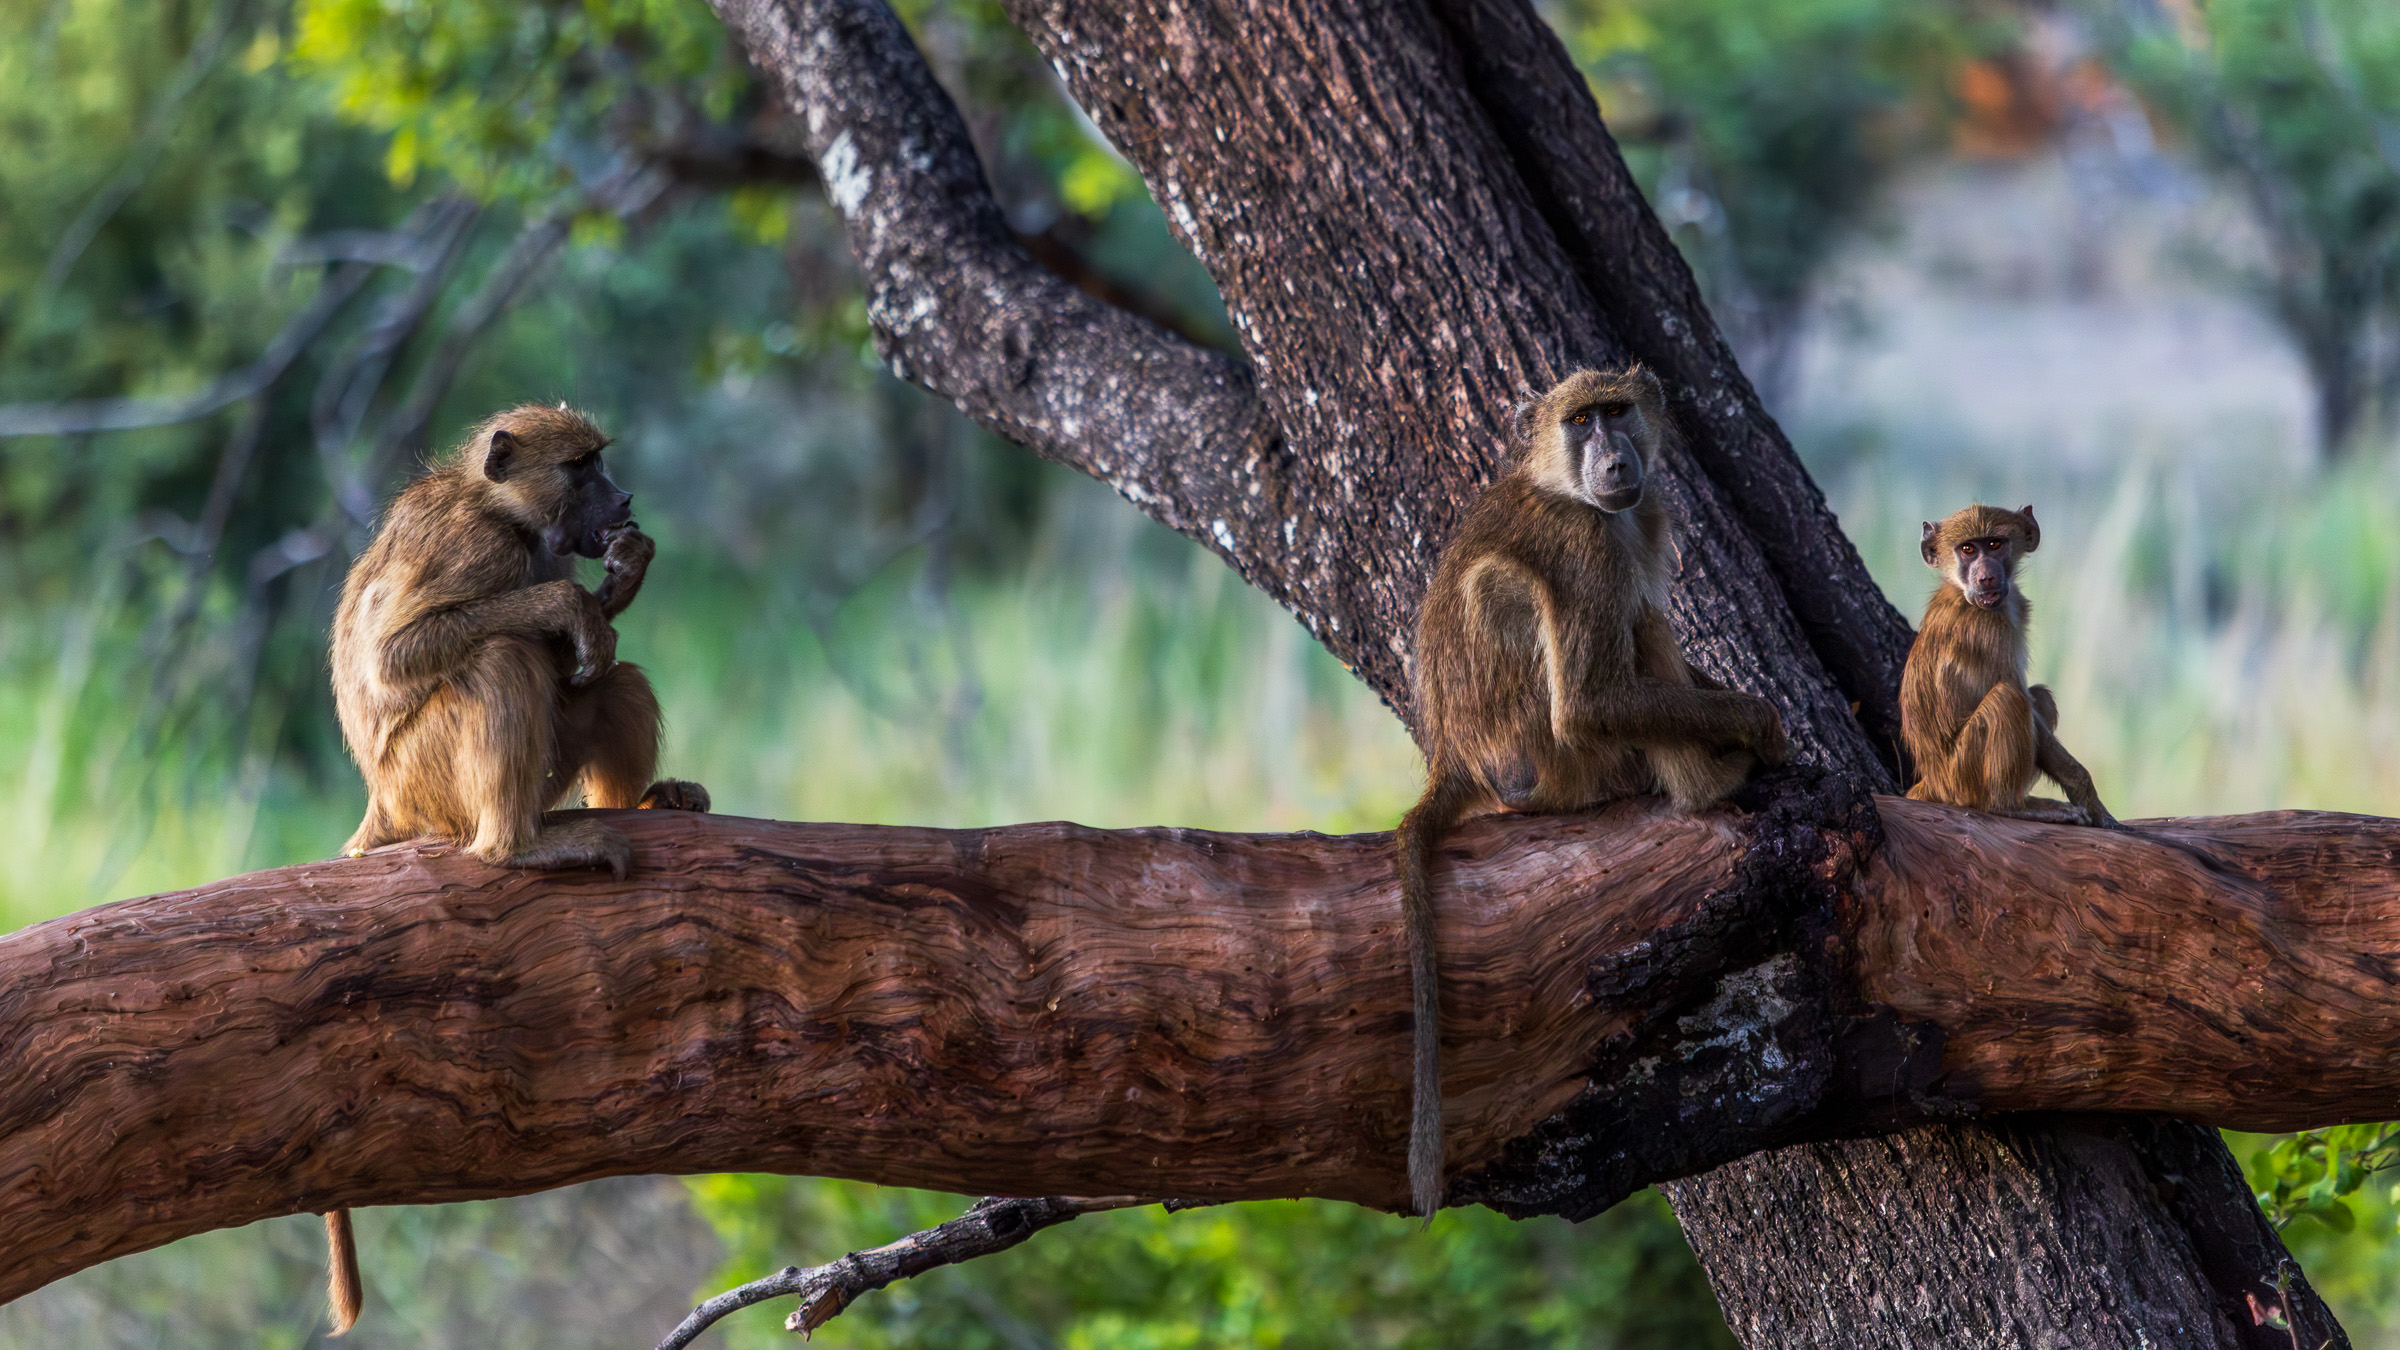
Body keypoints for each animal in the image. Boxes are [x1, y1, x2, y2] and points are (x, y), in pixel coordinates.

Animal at [321, 403, 708, 1334]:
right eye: (581, 467)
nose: (625, 499)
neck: (503, 512)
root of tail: (383, 803)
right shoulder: (474, 550)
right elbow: (400, 654)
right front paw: (578, 602)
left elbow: (596, 655)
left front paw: (625, 575)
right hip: (428, 782)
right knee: (501, 659)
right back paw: (521, 846)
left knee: (611, 683)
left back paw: (647, 803)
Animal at [1394, 366, 1791, 1220]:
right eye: (1580, 421)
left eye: (1617, 411)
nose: (1613, 460)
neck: (1563, 485)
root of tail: (1457, 760)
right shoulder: (1589, 546)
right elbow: (1591, 699)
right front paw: (1762, 724)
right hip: (1555, 766)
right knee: (1617, 628)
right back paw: (1709, 783)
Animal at [1901, 503, 2117, 830]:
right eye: (1967, 549)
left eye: (1994, 544)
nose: (1986, 578)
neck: (1962, 594)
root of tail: (1933, 784)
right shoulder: (1989, 629)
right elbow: (2016, 692)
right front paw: (2089, 799)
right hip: (1963, 777)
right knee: (2009, 697)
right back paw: (2009, 806)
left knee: (2040, 697)